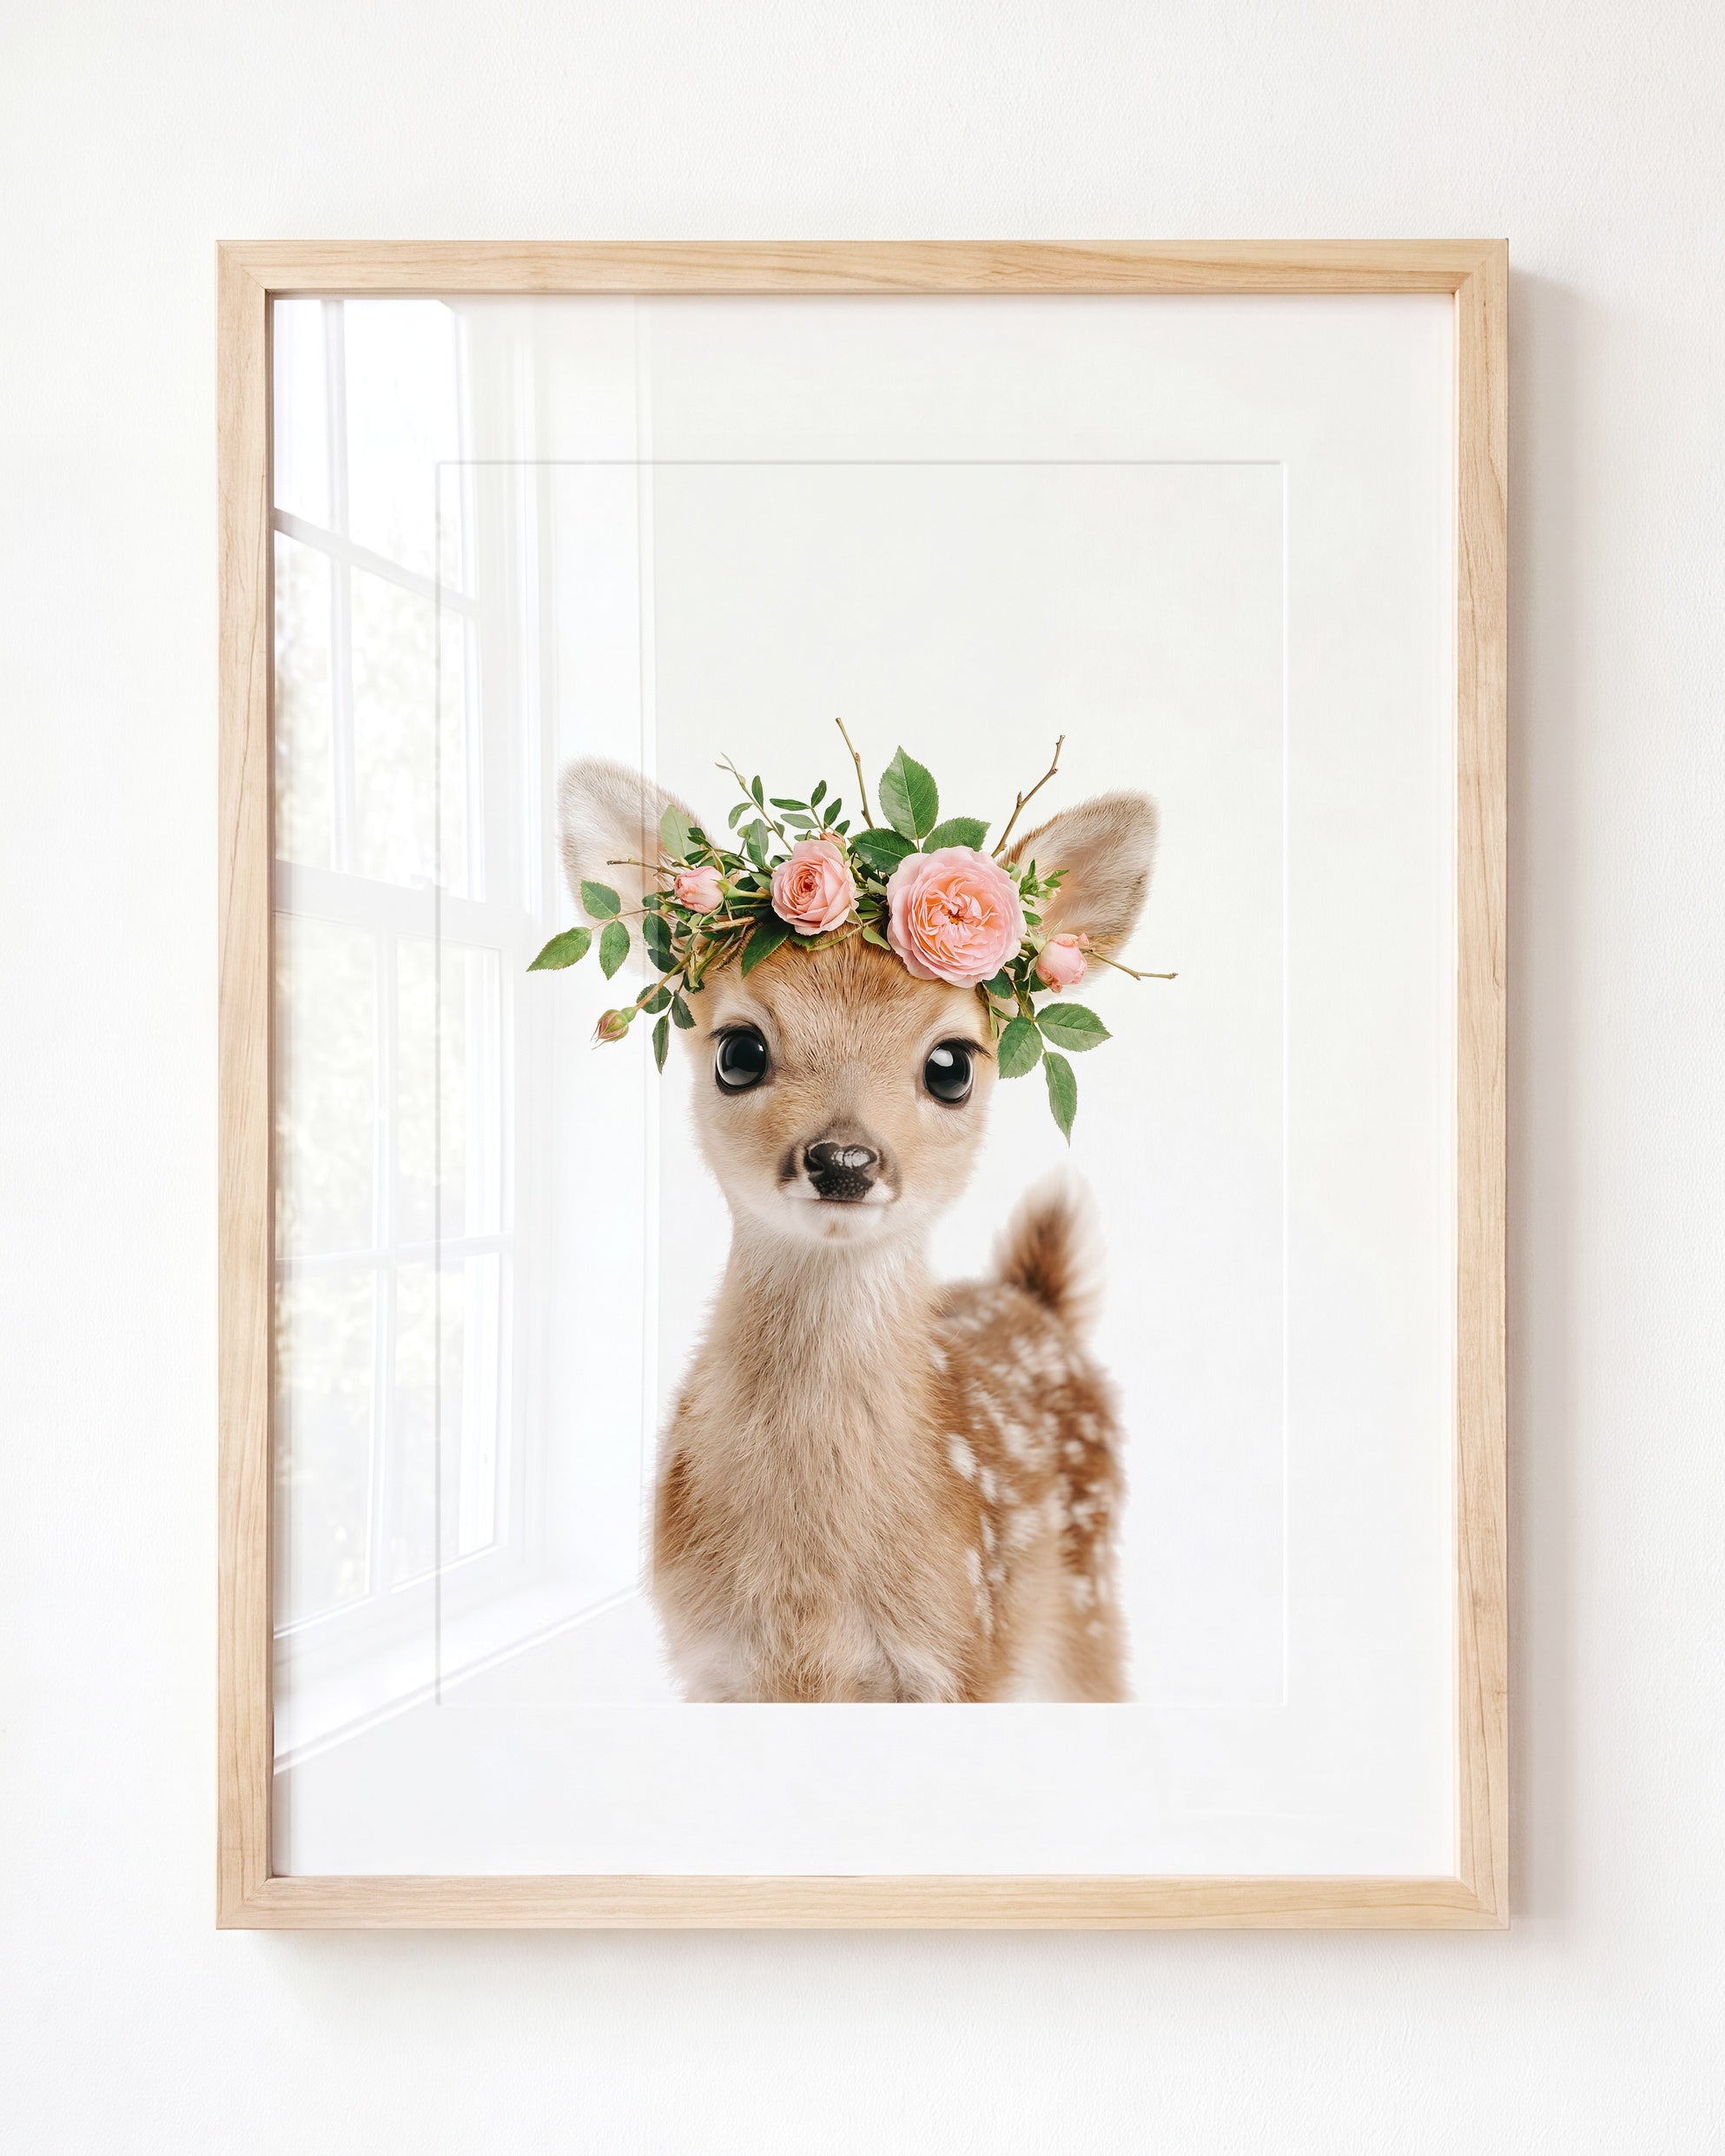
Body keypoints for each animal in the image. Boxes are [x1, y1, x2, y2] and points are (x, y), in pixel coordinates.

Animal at [559, 756, 1159, 1702]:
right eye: (738, 1051)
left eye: (951, 1065)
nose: (843, 1158)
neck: (810, 1600)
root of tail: (1037, 1300)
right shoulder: (712, 1664)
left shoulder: (961, 1652)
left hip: (1085, 1602)